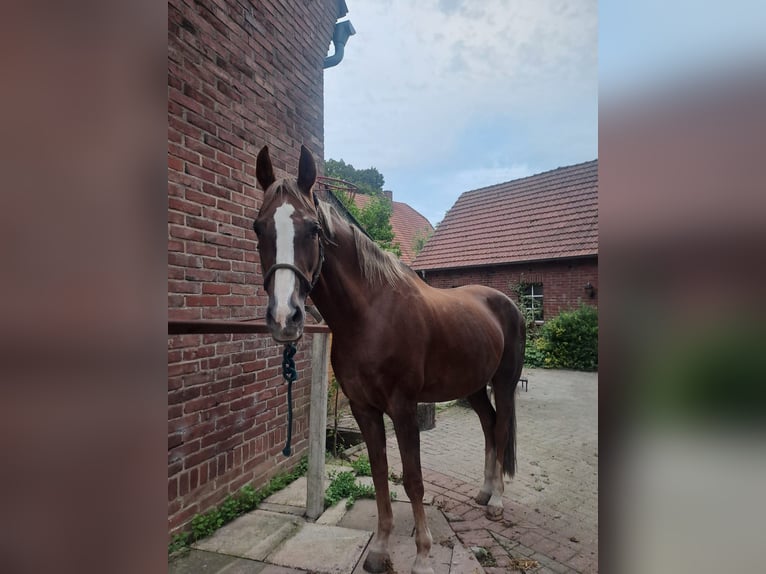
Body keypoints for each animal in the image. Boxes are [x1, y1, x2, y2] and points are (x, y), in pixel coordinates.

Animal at [253, 145, 525, 574]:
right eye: (258, 228)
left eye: (313, 229)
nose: (285, 317)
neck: (372, 315)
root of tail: (507, 303)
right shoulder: (364, 408)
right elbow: (381, 472)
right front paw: (381, 548)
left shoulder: (403, 406)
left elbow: (412, 478)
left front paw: (423, 554)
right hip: (474, 386)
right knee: (488, 424)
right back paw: (484, 493)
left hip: (504, 382)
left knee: (500, 428)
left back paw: (496, 501)